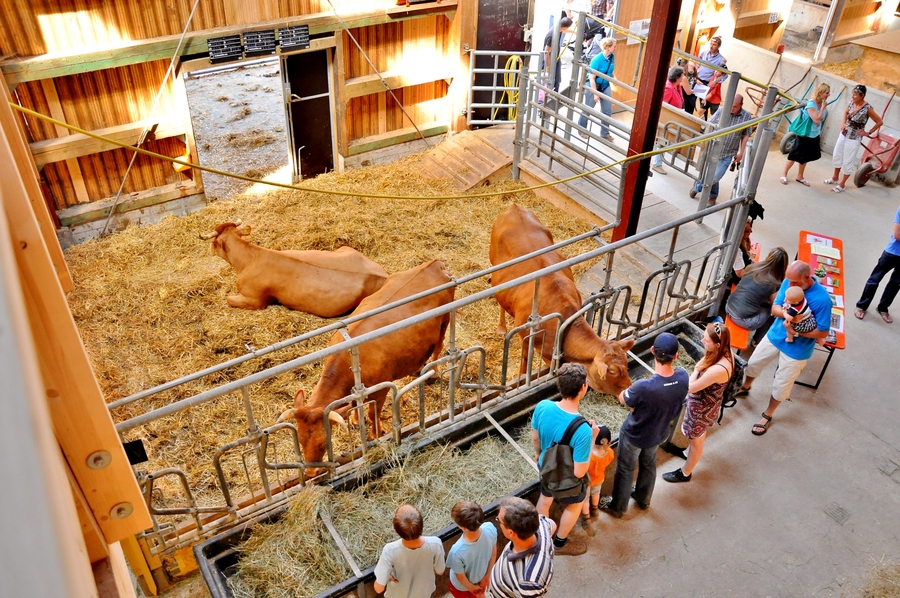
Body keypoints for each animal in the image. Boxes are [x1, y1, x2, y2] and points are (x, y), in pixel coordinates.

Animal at [200, 221, 389, 317]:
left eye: (213, 242)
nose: (209, 249)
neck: (250, 258)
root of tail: (383, 274)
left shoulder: (255, 300)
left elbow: (228, 299)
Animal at [277, 260, 454, 467]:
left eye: (324, 442)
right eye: (301, 441)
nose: (312, 471)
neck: (347, 360)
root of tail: (433, 264)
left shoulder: (381, 389)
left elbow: (372, 413)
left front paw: (375, 434)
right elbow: (356, 402)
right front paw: (355, 420)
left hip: (445, 319)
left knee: (439, 346)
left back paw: (432, 372)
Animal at [489, 204, 634, 396]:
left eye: (626, 364)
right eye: (612, 371)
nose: (630, 388)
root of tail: (515, 208)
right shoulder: (524, 336)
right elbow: (524, 366)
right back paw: (501, 328)